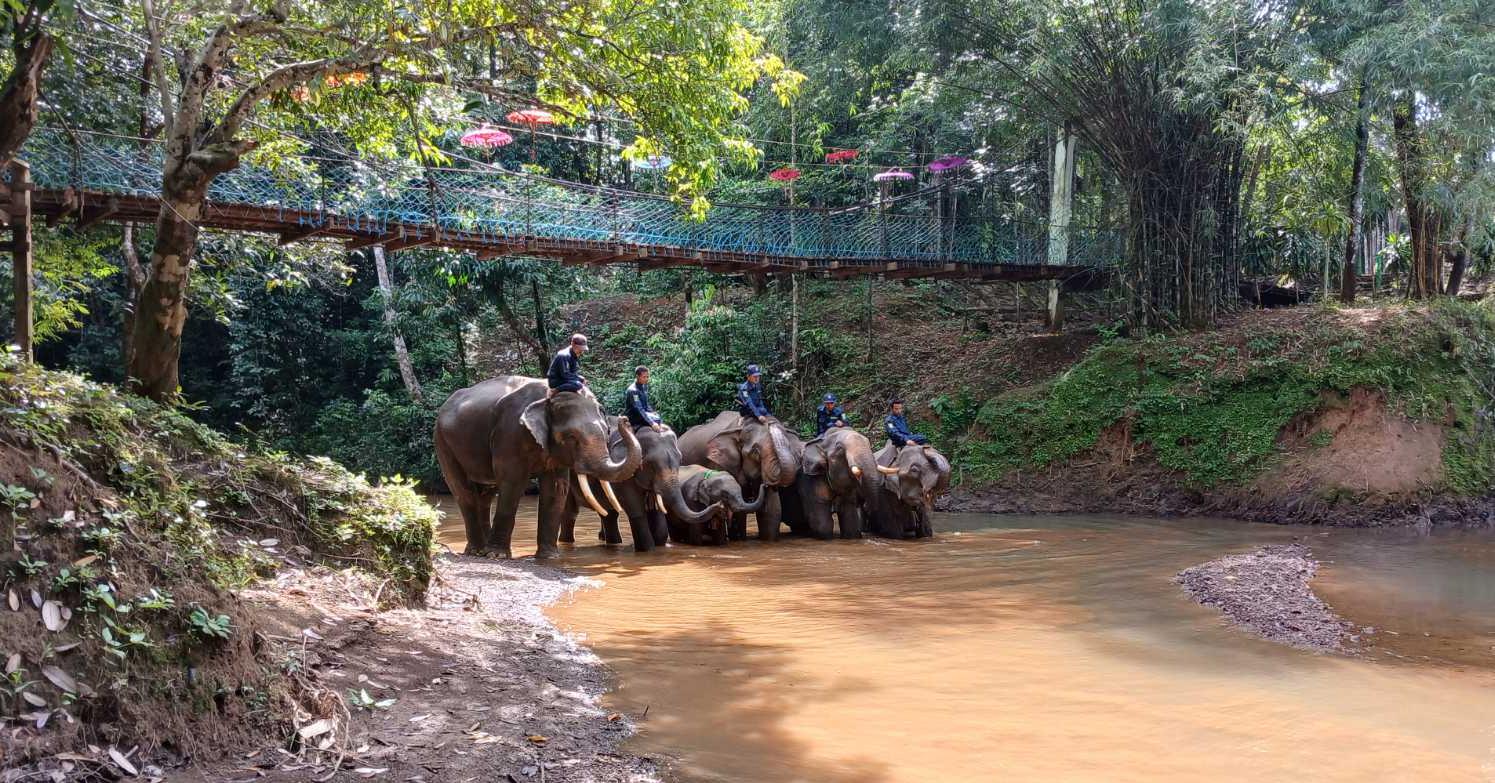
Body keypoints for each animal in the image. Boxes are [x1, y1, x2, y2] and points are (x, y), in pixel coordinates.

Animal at [433, 377, 641, 559]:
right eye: (571, 437)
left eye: (606, 432)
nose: (625, 420)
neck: (548, 396)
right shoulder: (510, 433)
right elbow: (512, 484)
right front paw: (497, 556)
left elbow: (555, 489)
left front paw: (550, 557)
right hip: (443, 442)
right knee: (463, 490)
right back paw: (477, 551)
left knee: (485, 495)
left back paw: (482, 550)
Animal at [559, 424, 725, 552]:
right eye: (650, 464)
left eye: (680, 459)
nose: (720, 505)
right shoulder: (623, 475)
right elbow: (637, 511)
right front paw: (647, 550)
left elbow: (658, 520)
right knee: (571, 512)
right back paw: (566, 542)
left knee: (609, 514)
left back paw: (614, 543)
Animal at [678, 412, 803, 541]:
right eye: (755, 451)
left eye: (789, 447)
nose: (770, 421)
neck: (740, 426)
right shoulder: (720, 463)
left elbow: (773, 510)